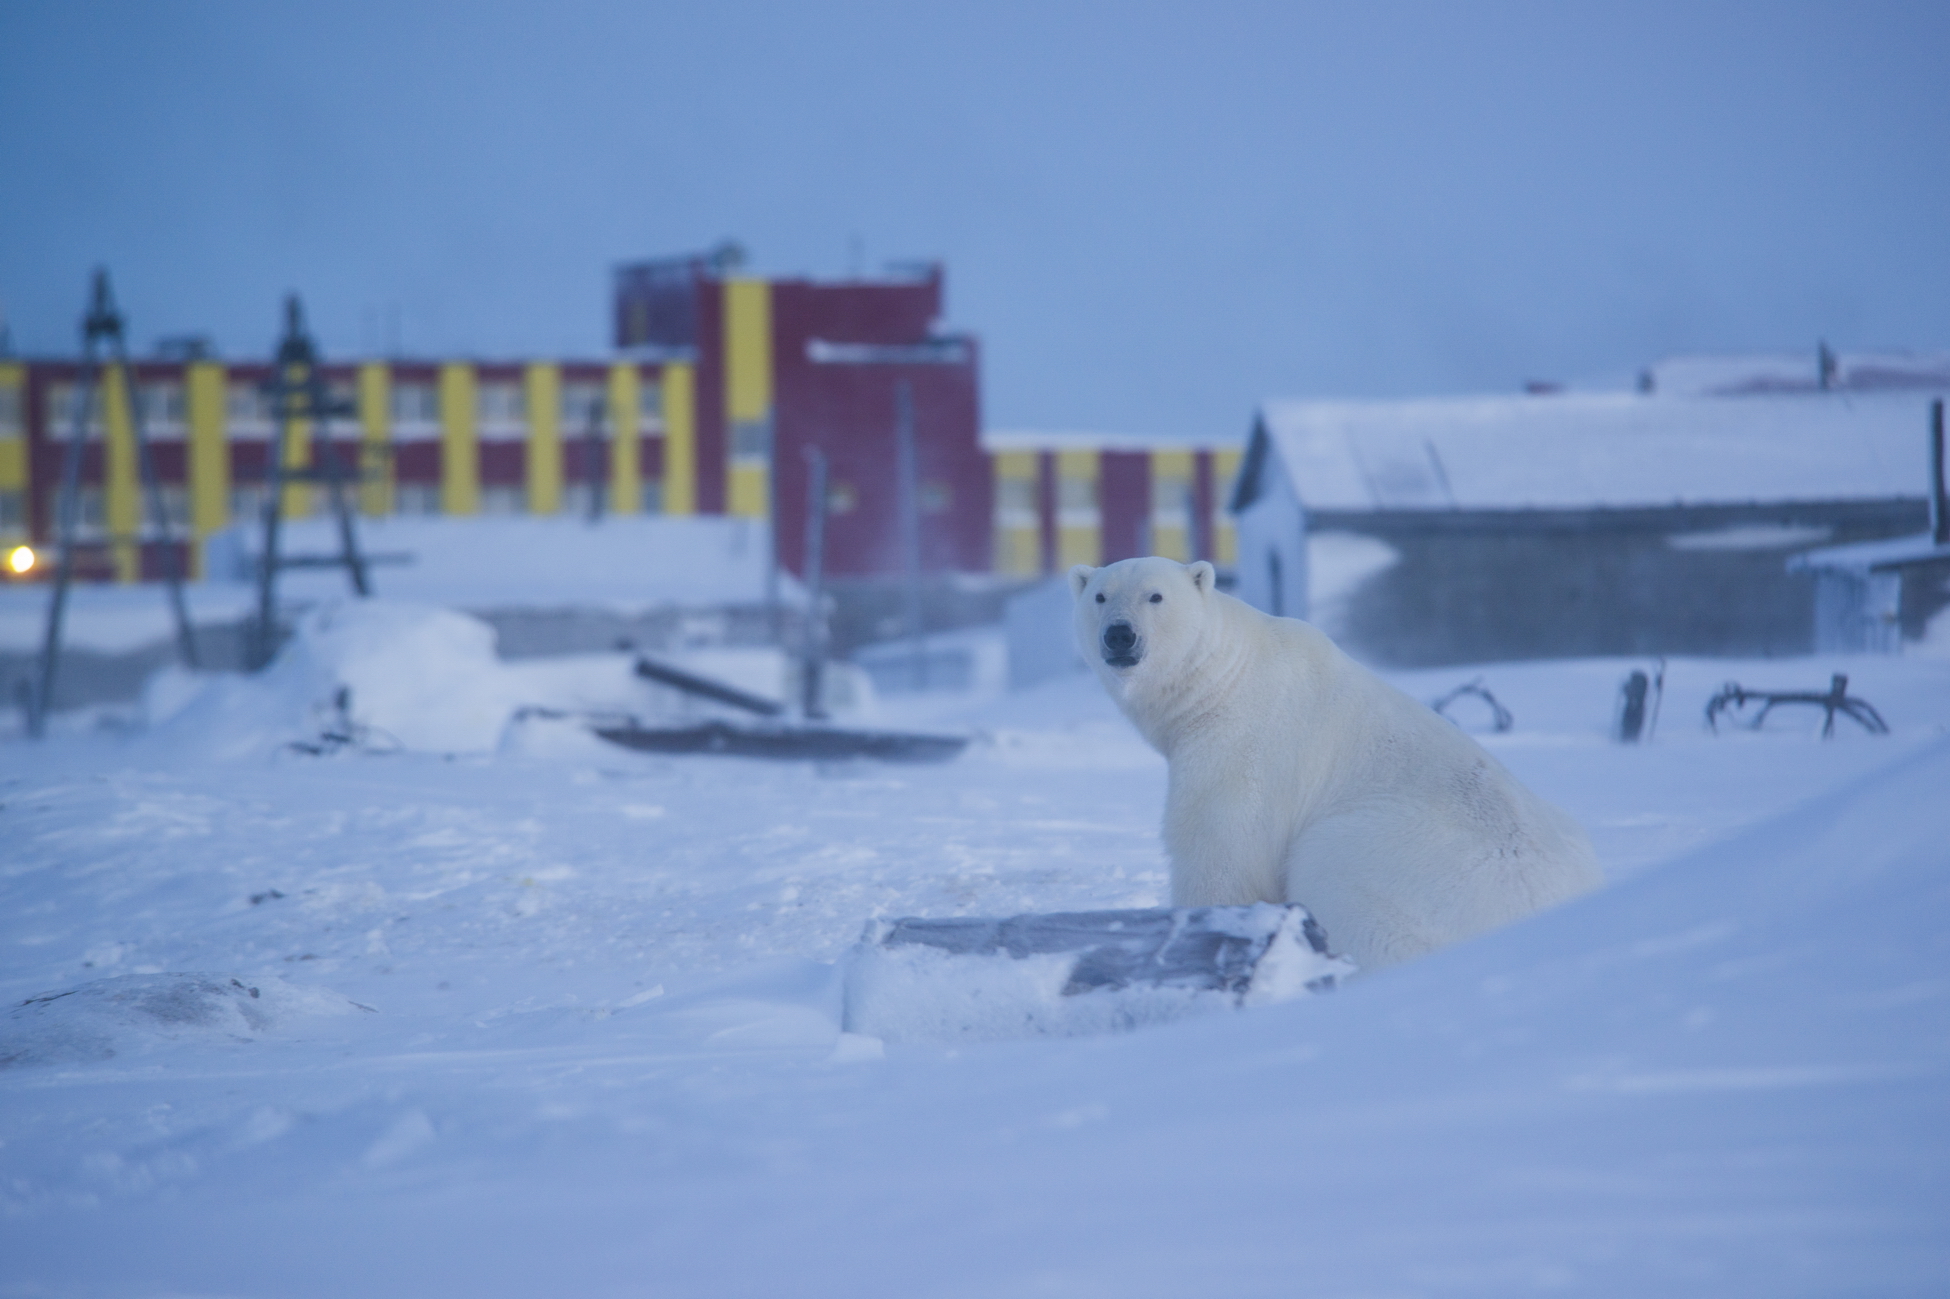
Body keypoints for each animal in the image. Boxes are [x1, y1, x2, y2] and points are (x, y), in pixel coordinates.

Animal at [1076, 550, 1606, 967]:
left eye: (1155, 596)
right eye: (1100, 596)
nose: (1119, 636)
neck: (1222, 675)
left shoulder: (1243, 749)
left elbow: (1221, 853)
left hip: (1393, 855)